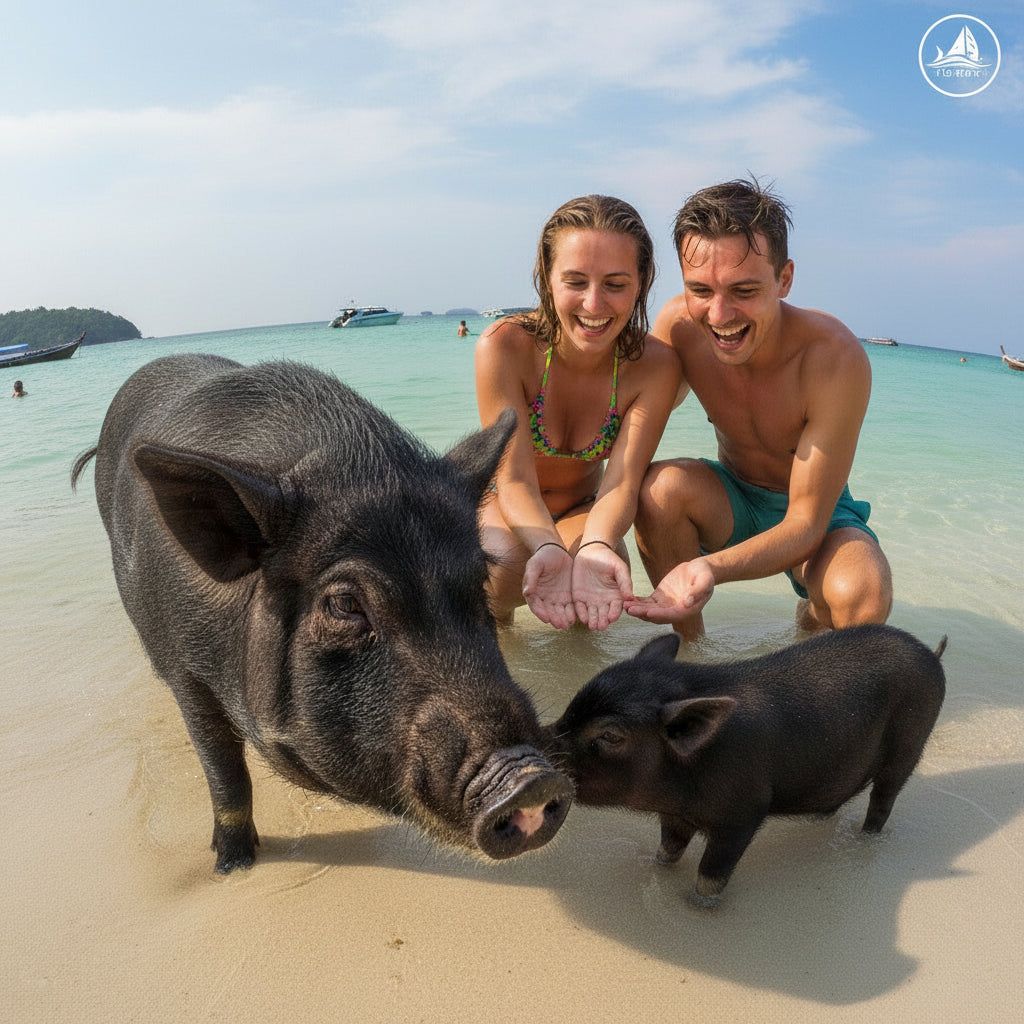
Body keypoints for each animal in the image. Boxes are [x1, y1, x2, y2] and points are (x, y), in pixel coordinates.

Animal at [72, 353, 573, 873]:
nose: (530, 777)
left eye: (479, 580)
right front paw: (233, 866)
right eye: (345, 603)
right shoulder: (185, 670)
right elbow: (225, 772)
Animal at [549, 626, 946, 905]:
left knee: (884, 798)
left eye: (610, 736)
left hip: (911, 742)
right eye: (573, 705)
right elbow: (667, 851)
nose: (544, 740)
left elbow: (711, 874)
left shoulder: (745, 810)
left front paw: (695, 906)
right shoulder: (675, 815)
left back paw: (867, 837)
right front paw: (654, 867)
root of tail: (931, 654)